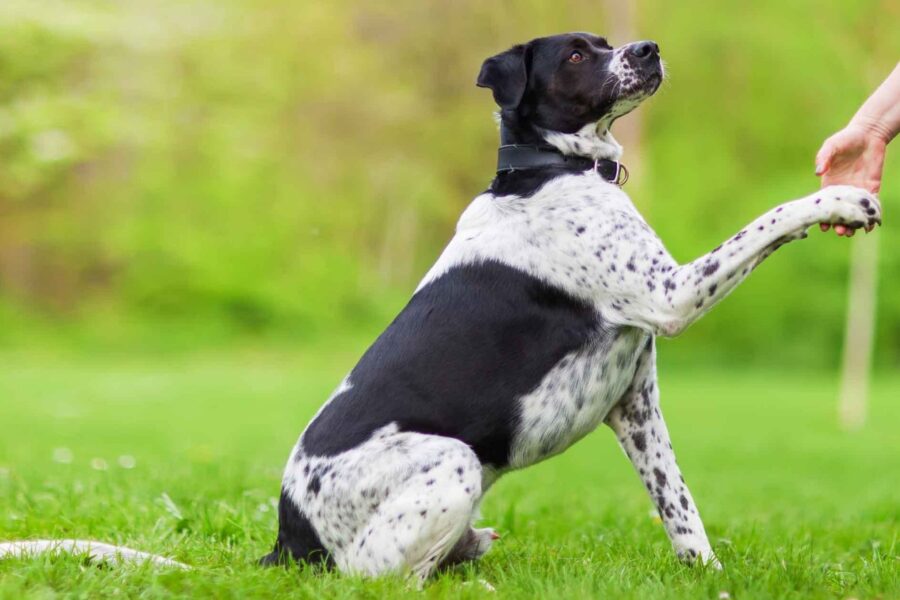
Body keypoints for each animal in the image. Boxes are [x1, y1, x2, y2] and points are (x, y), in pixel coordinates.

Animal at [0, 31, 884, 576]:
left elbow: (681, 507)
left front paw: (705, 573)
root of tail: (289, 542)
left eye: (607, 40)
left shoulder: (635, 403)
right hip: (451, 461)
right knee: (375, 578)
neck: (552, 171)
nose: (648, 47)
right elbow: (769, 219)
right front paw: (842, 196)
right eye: (577, 54)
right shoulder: (671, 295)